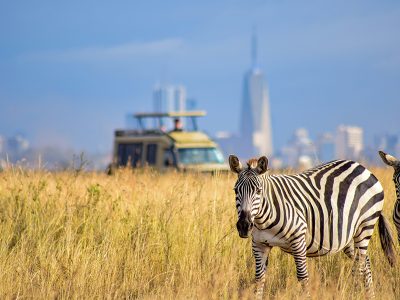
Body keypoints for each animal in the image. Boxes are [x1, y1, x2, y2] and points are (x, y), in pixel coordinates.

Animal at [230, 156, 396, 298]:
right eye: (235, 190)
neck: (263, 219)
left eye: (258, 191)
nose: (244, 226)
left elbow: (303, 277)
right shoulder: (259, 244)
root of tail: (362, 167)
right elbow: (259, 279)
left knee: (359, 266)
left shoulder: (298, 239)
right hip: (347, 235)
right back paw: (369, 295)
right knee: (365, 262)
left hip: (365, 225)